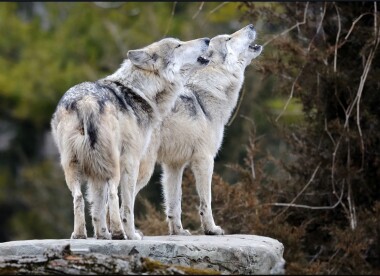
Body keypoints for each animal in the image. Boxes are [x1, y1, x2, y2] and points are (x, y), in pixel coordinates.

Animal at [49, 36, 211, 239]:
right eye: (178, 45)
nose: (207, 39)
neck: (140, 91)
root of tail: (87, 101)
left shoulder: (96, 173)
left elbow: (97, 208)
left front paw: (102, 235)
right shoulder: (131, 160)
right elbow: (127, 205)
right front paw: (131, 234)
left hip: (74, 167)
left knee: (78, 197)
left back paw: (79, 235)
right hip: (113, 165)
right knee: (113, 194)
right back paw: (120, 233)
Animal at [137, 23, 264, 235]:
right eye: (229, 38)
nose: (252, 25)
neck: (208, 92)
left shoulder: (174, 165)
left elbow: (174, 203)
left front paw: (178, 232)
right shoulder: (204, 159)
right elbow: (206, 201)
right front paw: (211, 229)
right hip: (144, 169)